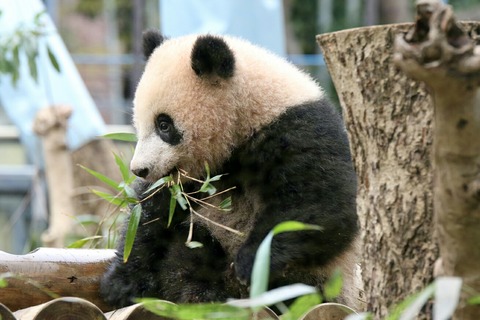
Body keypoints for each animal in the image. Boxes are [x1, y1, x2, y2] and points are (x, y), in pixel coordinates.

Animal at [98, 30, 360, 310]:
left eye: (164, 125)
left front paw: (252, 263)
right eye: (139, 125)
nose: (140, 170)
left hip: (319, 280)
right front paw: (120, 283)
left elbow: (322, 208)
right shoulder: (188, 180)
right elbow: (151, 215)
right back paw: (202, 293)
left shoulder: (300, 131)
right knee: (189, 252)